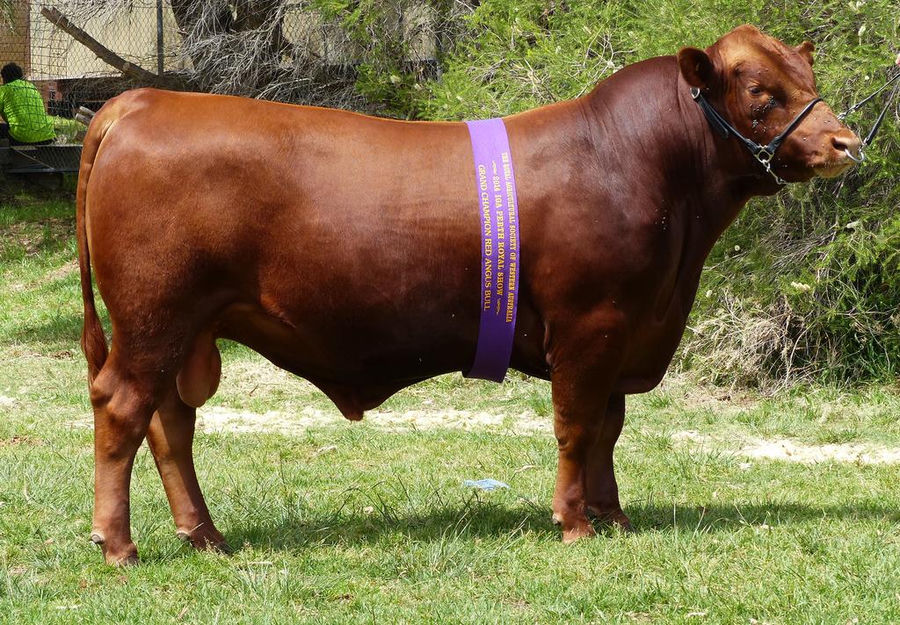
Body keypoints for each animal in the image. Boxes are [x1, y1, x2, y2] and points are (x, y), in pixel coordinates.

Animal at [76, 24, 861, 564]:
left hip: (185, 328)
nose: (846, 142)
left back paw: (205, 534)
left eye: (806, 75)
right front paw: (575, 522)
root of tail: (143, 100)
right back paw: (118, 544)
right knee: (122, 409)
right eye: (760, 94)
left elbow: (609, 427)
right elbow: (577, 426)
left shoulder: (627, 330)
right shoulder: (592, 325)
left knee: (171, 423)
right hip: (154, 315)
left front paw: (613, 516)